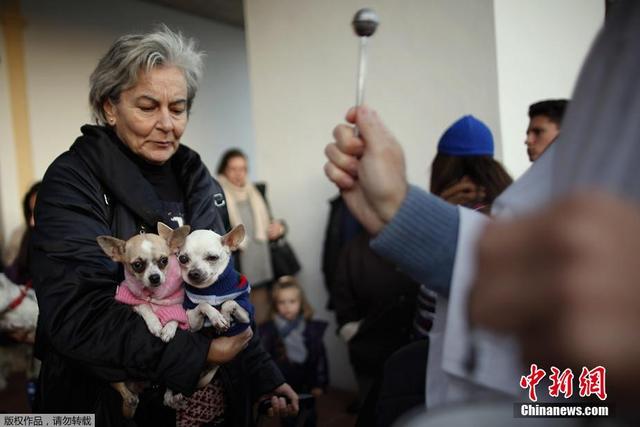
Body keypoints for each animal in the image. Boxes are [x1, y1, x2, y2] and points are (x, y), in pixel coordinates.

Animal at [96, 224, 189, 418]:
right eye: (137, 265)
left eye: (164, 261)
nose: (155, 277)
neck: (152, 294)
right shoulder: (131, 301)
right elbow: (145, 307)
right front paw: (155, 324)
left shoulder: (177, 306)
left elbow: (175, 318)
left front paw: (168, 330)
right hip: (110, 369)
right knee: (118, 384)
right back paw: (130, 398)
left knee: (166, 393)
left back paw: (172, 398)